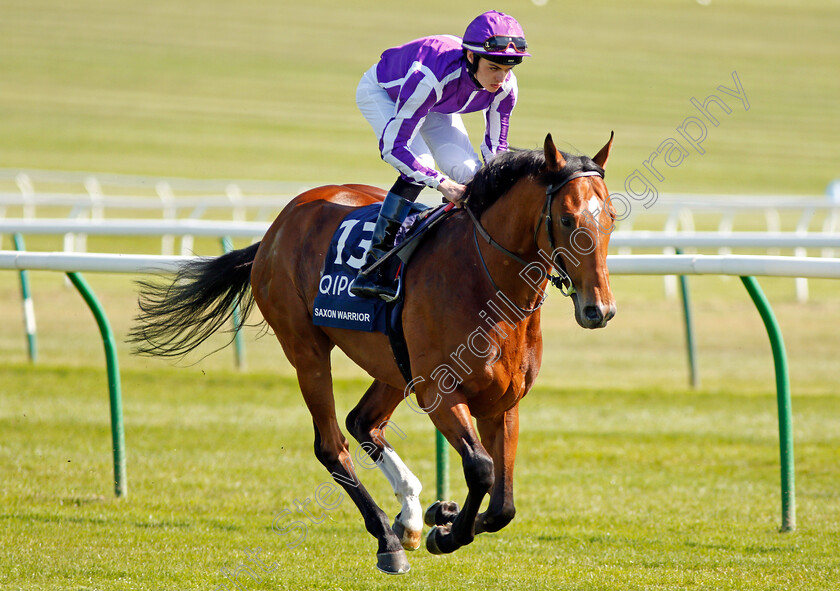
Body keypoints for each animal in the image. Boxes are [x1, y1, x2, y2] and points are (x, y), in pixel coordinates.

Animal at [130, 133, 616, 572]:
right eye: (567, 219)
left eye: (610, 217)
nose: (599, 309)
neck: (487, 284)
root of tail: (279, 224)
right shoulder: (440, 392)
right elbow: (480, 468)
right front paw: (446, 532)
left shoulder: (503, 403)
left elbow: (503, 507)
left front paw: (442, 517)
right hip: (305, 349)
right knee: (332, 444)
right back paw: (388, 538)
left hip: (393, 367)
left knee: (362, 422)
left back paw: (411, 515)